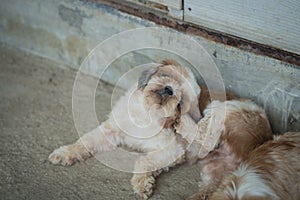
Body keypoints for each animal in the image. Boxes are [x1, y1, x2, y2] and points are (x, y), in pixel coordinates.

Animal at [48, 59, 202, 198]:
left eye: (181, 101)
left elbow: (143, 161)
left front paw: (142, 184)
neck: (145, 114)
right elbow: (86, 141)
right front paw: (65, 152)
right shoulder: (110, 131)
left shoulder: (173, 150)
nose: (170, 89)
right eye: (166, 75)